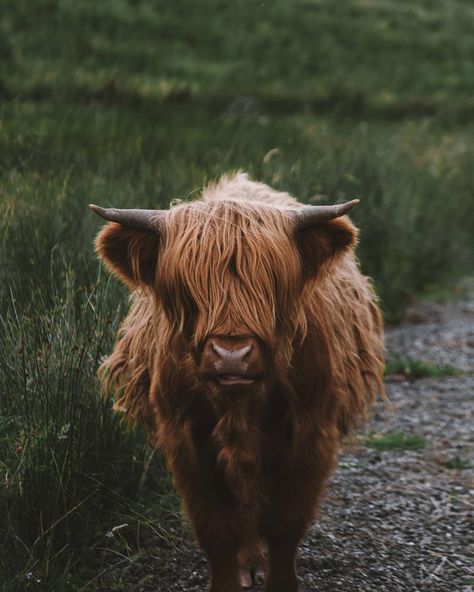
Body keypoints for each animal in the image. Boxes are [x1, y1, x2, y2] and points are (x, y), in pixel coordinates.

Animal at [90, 173, 384, 592]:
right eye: (186, 285)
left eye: (273, 282)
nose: (232, 354)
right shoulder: (185, 435)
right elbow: (216, 528)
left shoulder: (311, 430)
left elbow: (286, 523)